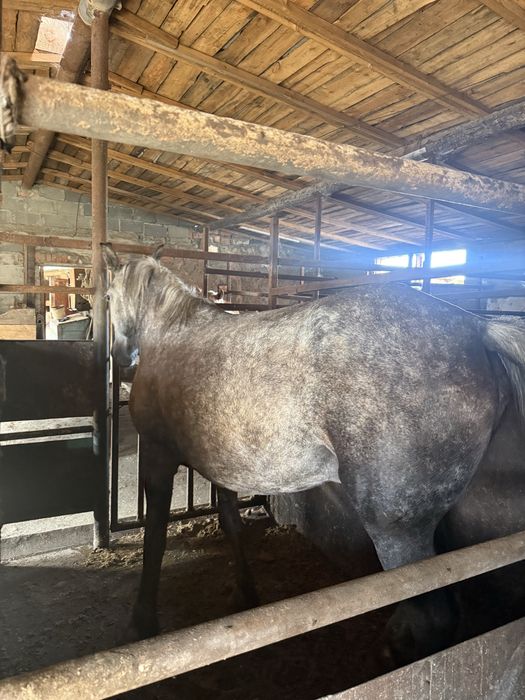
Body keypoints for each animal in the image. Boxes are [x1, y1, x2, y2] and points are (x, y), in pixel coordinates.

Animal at [102, 243, 525, 661]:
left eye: (107, 296)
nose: (123, 358)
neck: (171, 332)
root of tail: (476, 327)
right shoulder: (221, 466)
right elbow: (231, 523)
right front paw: (245, 593)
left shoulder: (157, 456)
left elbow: (154, 537)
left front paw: (142, 622)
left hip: (397, 531)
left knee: (429, 617)